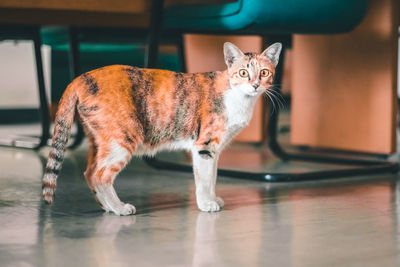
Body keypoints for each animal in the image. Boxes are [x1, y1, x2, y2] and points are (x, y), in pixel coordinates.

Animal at [42, 42, 282, 218]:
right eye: (242, 73)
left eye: (264, 72)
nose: (255, 85)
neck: (238, 98)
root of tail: (80, 78)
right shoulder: (204, 145)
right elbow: (204, 179)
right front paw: (206, 203)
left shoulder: (214, 149)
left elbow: (213, 176)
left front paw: (214, 199)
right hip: (122, 139)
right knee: (100, 175)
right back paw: (119, 208)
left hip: (101, 140)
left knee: (89, 172)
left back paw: (108, 207)